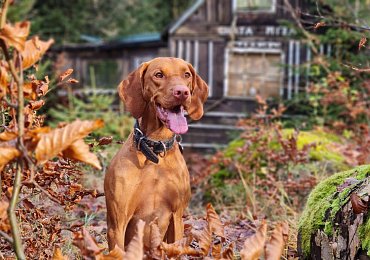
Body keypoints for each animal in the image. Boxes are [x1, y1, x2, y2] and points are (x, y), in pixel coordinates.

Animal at [104, 57, 208, 252]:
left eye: (187, 74)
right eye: (159, 75)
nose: (182, 92)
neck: (155, 149)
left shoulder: (177, 217)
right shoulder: (117, 223)